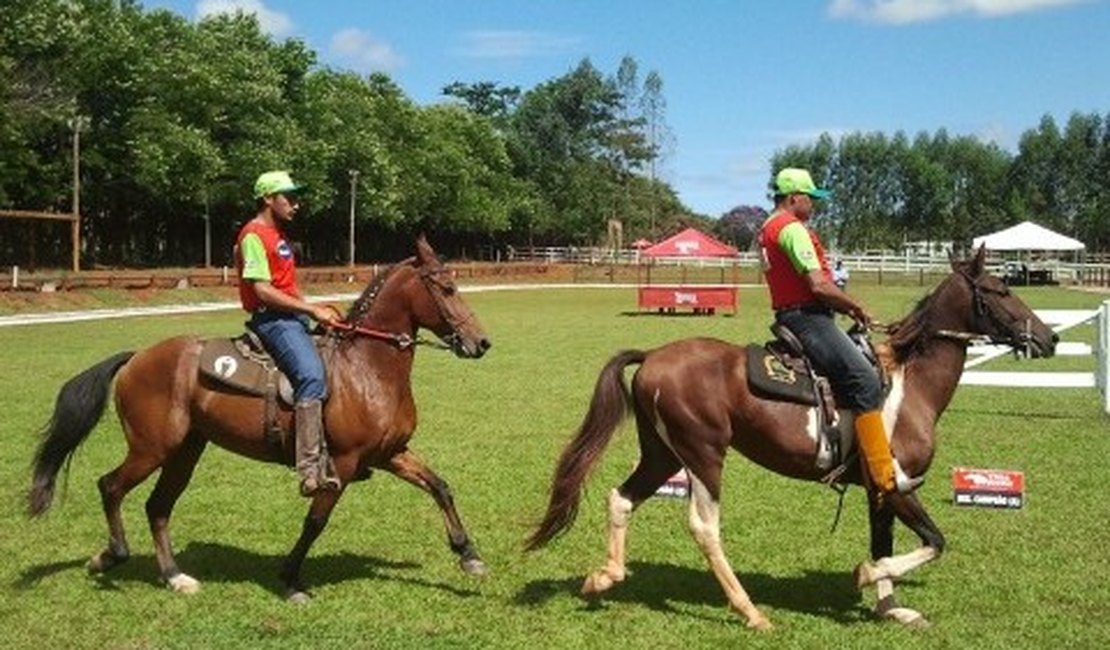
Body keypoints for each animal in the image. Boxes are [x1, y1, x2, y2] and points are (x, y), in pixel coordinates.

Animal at [27, 235, 490, 598]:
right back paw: (109, 557)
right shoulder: (341, 463)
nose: (481, 342)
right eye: (447, 288)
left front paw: (468, 554)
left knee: (157, 507)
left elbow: (440, 487)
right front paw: (289, 578)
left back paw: (174, 576)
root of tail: (137, 357)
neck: (366, 367)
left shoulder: (389, 452)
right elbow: (315, 521)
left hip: (184, 452)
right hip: (151, 448)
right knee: (110, 487)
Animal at [526, 246, 1056, 625]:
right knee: (704, 527)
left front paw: (891, 608)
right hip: (703, 455)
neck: (909, 384)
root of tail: (654, 354)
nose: (1048, 337)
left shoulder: (880, 491)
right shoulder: (899, 485)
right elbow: (932, 542)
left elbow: (884, 541)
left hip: (662, 455)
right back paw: (750, 611)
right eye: (999, 289)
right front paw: (867, 577)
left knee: (620, 499)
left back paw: (604, 577)